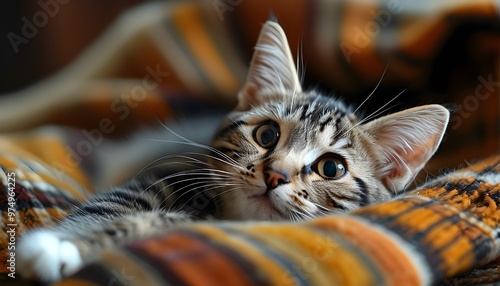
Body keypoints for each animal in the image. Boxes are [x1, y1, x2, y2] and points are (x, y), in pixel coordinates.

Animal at [16, 20, 450, 282]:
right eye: (267, 134)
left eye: (331, 168)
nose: (276, 174)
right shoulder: (168, 174)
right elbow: (111, 207)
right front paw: (65, 242)